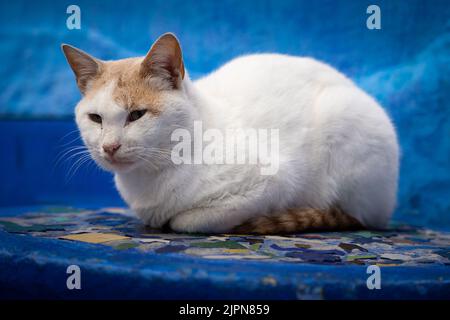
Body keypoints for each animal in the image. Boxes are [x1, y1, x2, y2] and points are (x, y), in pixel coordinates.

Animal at [61, 32, 400, 234]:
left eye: (136, 115)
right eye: (95, 118)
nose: (109, 146)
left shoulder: (273, 181)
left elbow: (187, 220)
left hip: (344, 119)